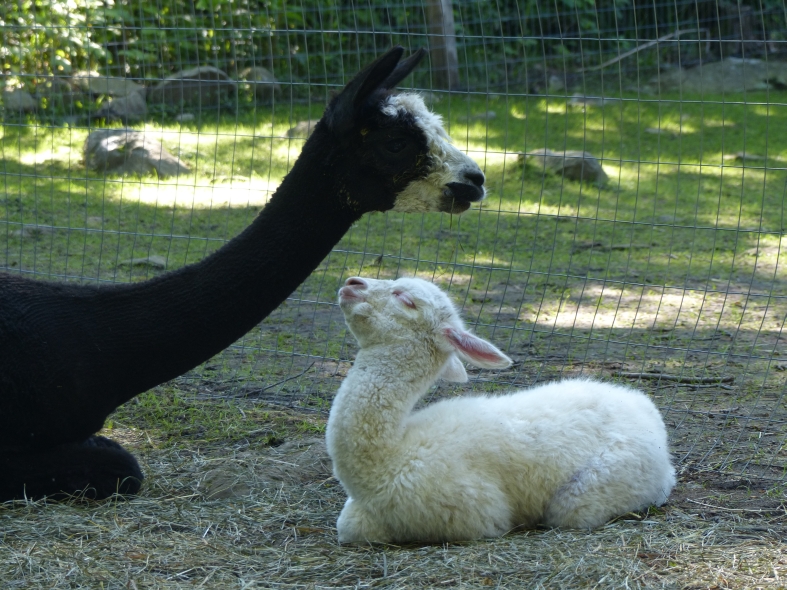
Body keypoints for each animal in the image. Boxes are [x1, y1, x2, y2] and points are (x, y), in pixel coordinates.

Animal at [326, 276, 676, 544]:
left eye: (407, 299)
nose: (352, 283)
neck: (390, 458)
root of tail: (646, 410)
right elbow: (347, 527)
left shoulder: (475, 512)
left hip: (597, 487)